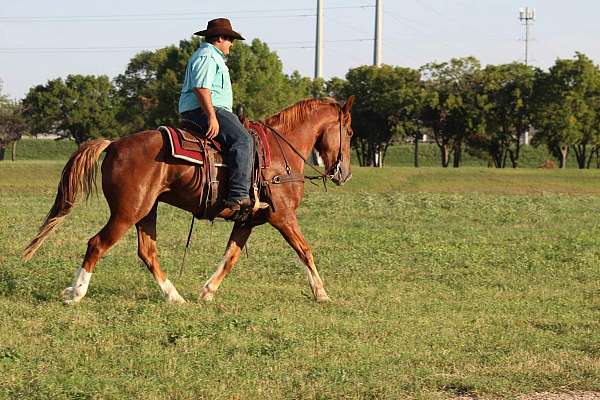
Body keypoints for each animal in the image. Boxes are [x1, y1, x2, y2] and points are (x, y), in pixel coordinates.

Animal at [22, 97, 352, 304]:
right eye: (349, 131)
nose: (345, 173)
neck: (281, 154)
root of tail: (114, 143)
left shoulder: (248, 221)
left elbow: (230, 256)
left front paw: (207, 292)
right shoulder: (282, 216)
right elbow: (305, 250)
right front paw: (322, 294)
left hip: (146, 211)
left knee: (147, 252)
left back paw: (174, 296)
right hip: (128, 212)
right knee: (97, 244)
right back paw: (76, 293)